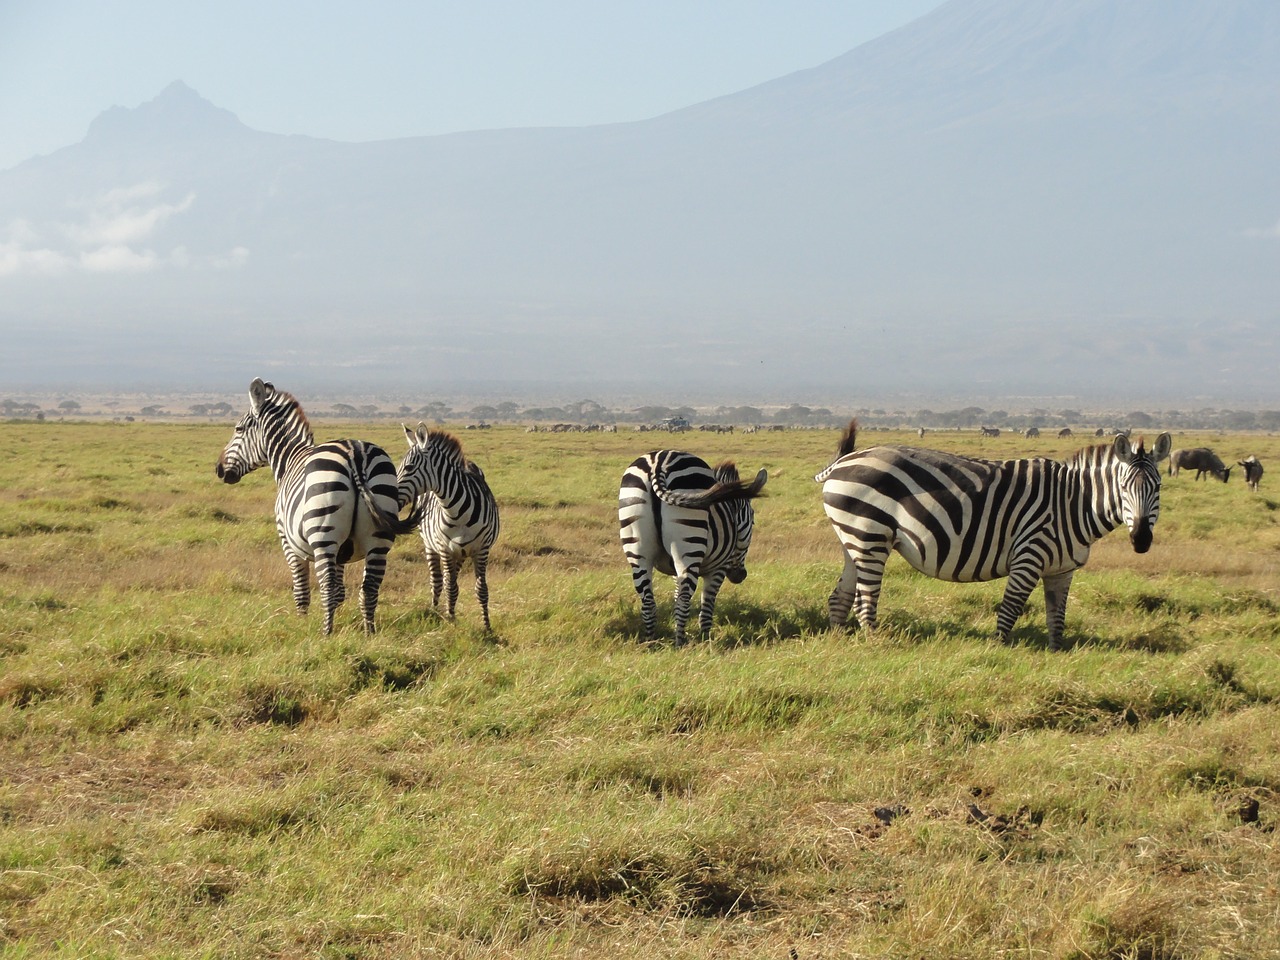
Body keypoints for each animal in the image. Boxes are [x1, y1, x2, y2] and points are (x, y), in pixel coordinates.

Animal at [217, 378, 422, 634]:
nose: (219, 469)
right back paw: (369, 633)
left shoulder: (288, 542)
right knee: (369, 589)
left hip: (323, 535)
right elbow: (341, 592)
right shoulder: (342, 552)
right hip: (379, 538)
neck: (289, 459)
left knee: (326, 587)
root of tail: (355, 454)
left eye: (238, 429)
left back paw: (326, 634)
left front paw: (301, 624)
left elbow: (302, 590)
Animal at [396, 422, 501, 632]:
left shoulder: (482, 549)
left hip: (460, 553)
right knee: (438, 581)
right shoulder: (444, 548)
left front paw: (487, 626)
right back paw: (436, 611)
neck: (457, 511)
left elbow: (481, 589)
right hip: (431, 545)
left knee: (449, 579)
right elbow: (450, 587)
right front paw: (450, 619)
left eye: (409, 467)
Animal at [614, 450, 762, 647]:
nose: (740, 576)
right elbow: (707, 606)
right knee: (684, 601)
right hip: (689, 544)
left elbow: (676, 595)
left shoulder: (675, 570)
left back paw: (651, 642)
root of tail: (658, 463)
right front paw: (706, 639)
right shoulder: (718, 568)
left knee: (648, 602)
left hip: (638, 548)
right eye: (752, 522)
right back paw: (680, 643)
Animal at [819, 422, 1172, 655]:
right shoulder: (1028, 556)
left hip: (854, 538)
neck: (1072, 502)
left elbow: (1056, 617)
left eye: (1158, 488)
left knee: (840, 597)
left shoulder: (1062, 570)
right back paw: (876, 646)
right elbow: (1010, 609)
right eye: (1124, 488)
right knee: (865, 601)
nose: (1141, 540)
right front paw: (998, 654)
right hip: (870, 536)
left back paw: (838, 644)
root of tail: (842, 462)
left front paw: (1056, 655)